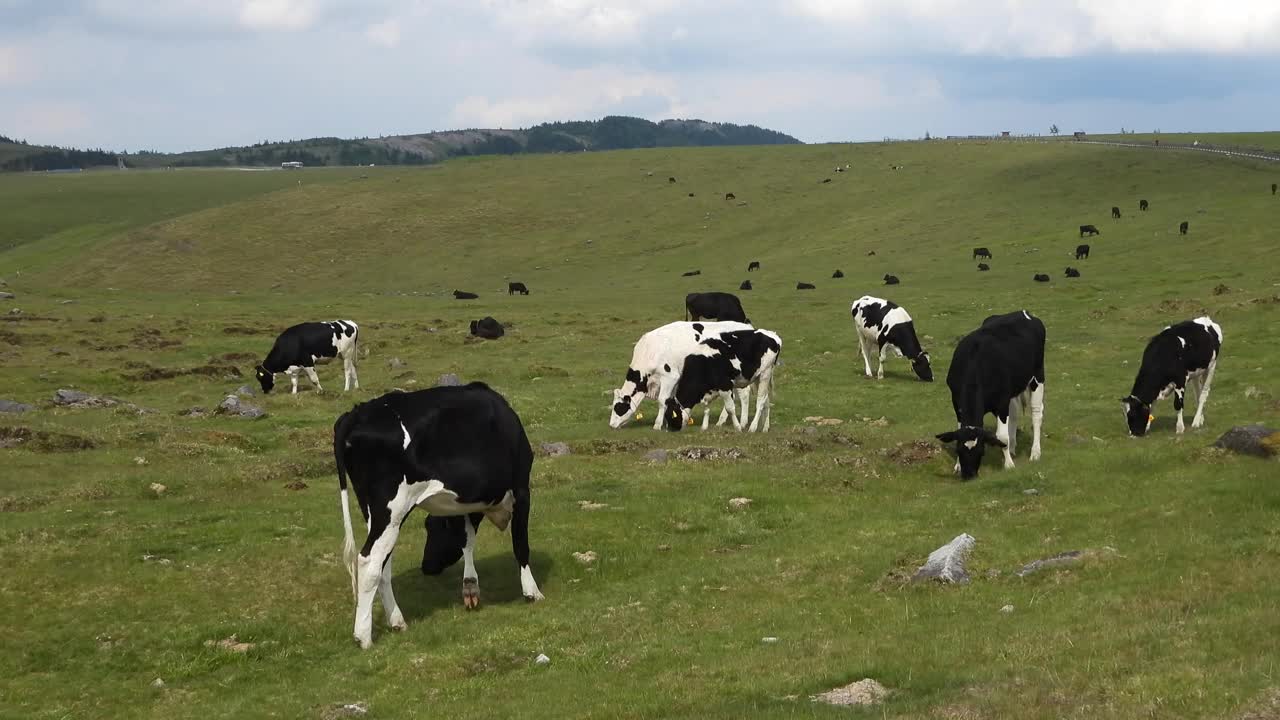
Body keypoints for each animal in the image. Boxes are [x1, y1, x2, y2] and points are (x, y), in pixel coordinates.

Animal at [332, 381, 542, 645]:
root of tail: (357, 412)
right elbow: (520, 544)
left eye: (434, 528)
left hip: (378, 515)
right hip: (392, 508)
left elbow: (467, 540)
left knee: (383, 563)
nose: (427, 567)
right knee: (369, 561)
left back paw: (397, 621)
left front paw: (470, 586)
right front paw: (531, 591)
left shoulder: (464, 504)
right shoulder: (521, 489)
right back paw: (363, 637)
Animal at [609, 320, 747, 430]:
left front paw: (657, 425)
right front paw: (668, 421)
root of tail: (745, 325)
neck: (651, 351)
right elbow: (669, 401)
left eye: (618, 407)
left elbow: (662, 400)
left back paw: (743, 423)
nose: (611, 425)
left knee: (744, 395)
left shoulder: (670, 377)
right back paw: (721, 421)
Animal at [936, 307, 1044, 476]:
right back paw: (1013, 448)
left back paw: (1035, 453)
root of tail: (1023, 312)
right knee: (1014, 414)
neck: (974, 364)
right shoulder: (956, 401)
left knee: (1036, 414)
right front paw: (958, 466)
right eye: (959, 450)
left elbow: (1002, 436)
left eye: (981, 452)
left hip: (1037, 376)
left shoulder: (1001, 402)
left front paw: (1008, 465)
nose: (969, 476)